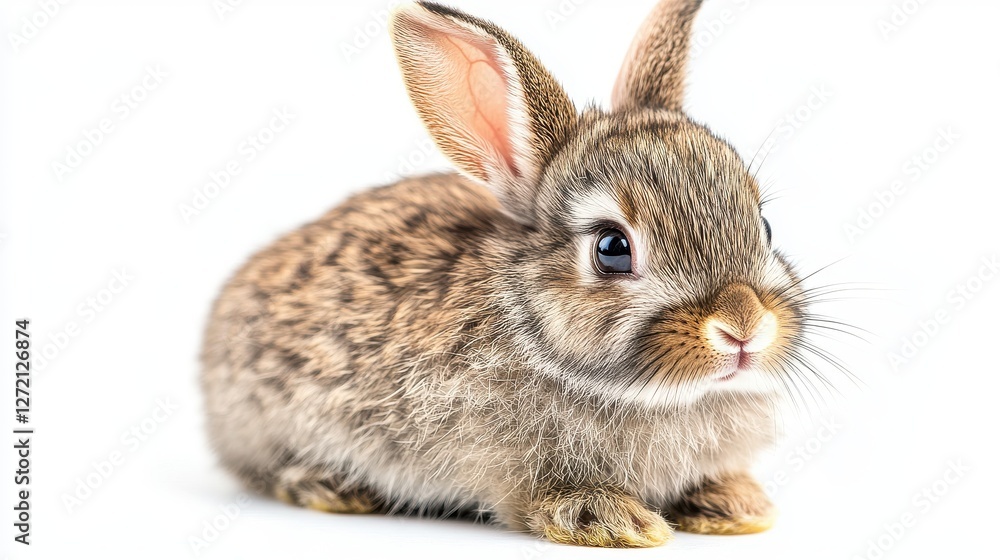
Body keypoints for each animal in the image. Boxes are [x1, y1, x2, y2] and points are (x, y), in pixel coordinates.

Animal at [201, 0, 813, 548]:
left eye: (764, 226)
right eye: (612, 248)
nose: (743, 325)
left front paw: (736, 504)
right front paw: (612, 521)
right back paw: (330, 486)